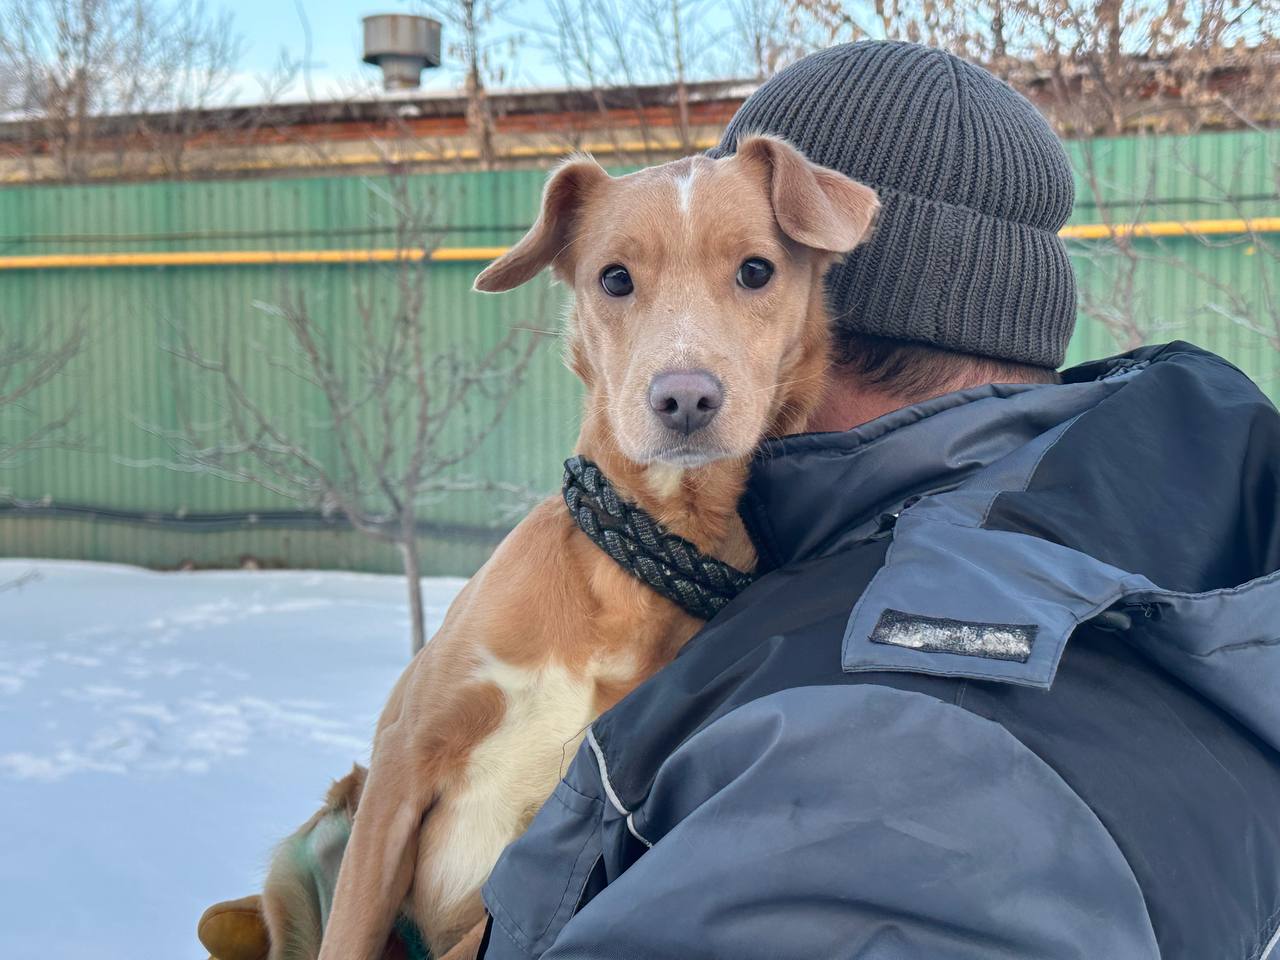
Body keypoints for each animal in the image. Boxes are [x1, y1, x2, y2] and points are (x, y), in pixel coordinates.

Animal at [199, 134, 878, 960]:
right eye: (614, 278)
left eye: (757, 270)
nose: (685, 398)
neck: (624, 572)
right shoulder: (401, 763)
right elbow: (351, 931)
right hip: (316, 843)